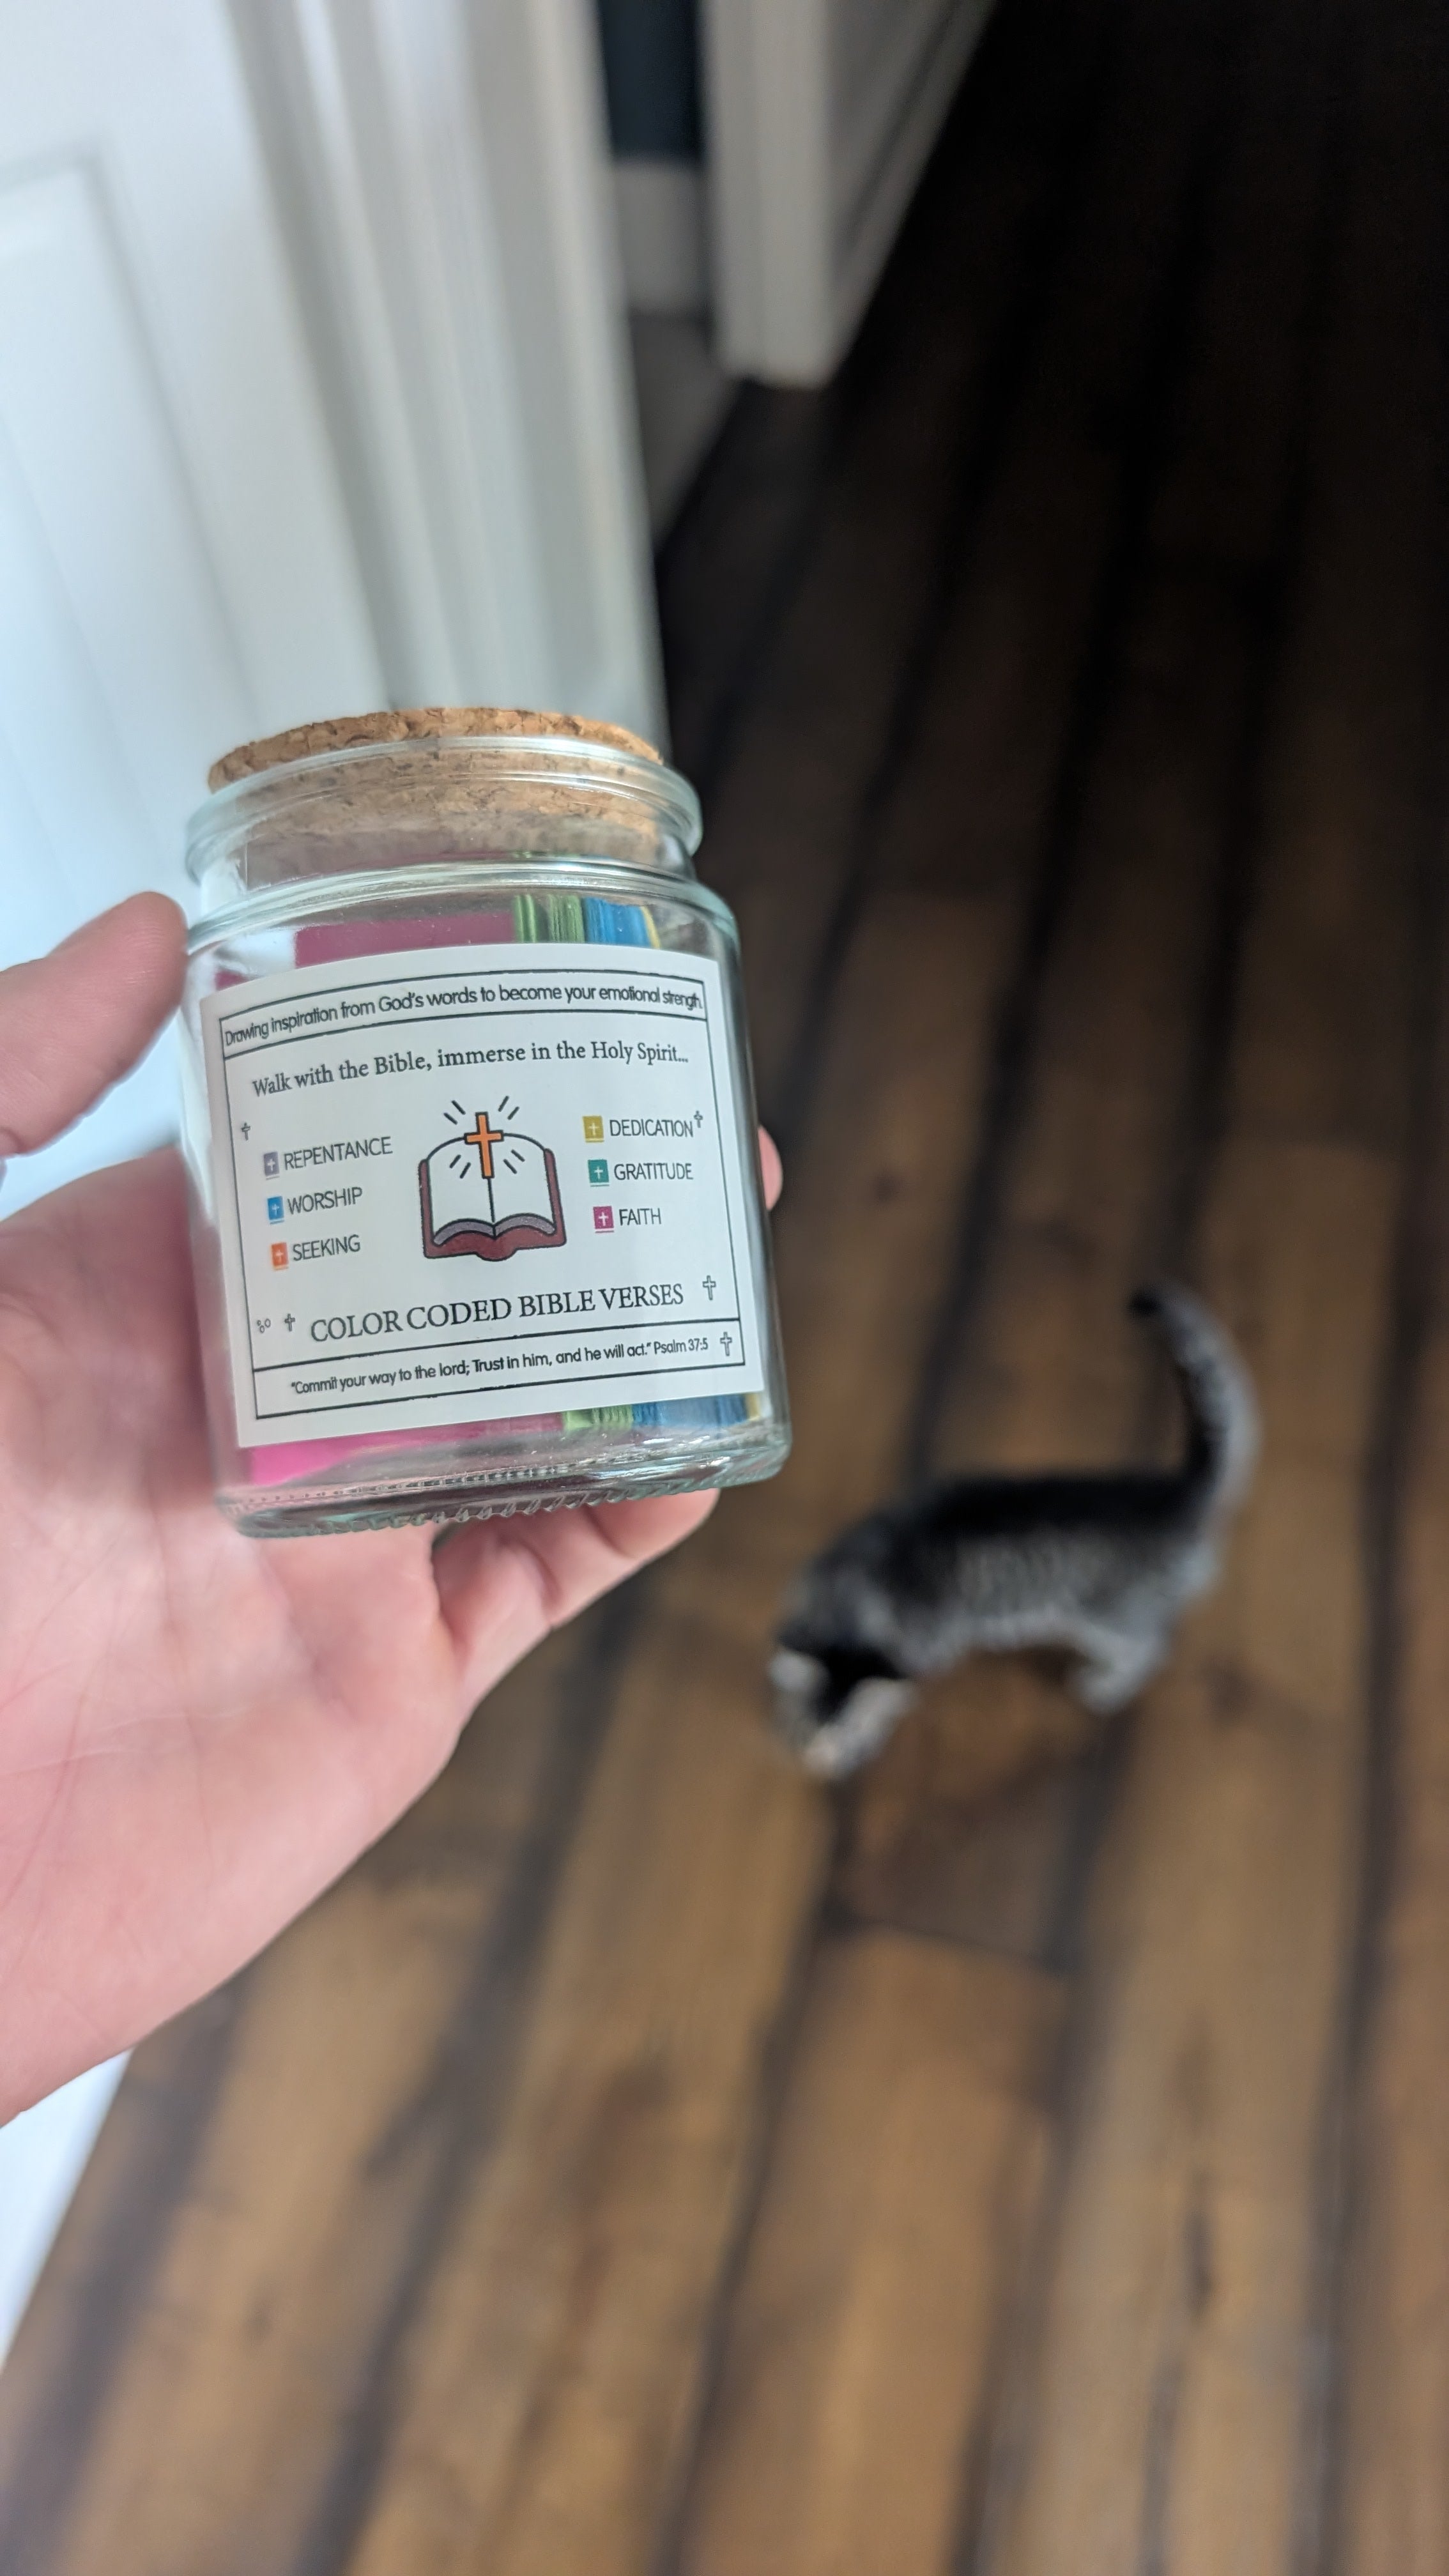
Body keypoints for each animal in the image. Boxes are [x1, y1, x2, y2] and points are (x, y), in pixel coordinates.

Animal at [770, 1285, 1258, 1780]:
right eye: (808, 1729)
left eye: (849, 1736)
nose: (822, 1763)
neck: (851, 1602)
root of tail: (1177, 1493)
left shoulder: (922, 1649)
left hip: (1112, 1619)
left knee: (1147, 1648)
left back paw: (1104, 1686)